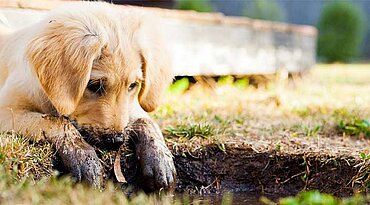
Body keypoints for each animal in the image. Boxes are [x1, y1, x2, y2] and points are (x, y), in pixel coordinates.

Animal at [0, 1, 176, 191]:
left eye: (132, 86)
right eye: (94, 85)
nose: (117, 141)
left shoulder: (130, 107)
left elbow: (146, 120)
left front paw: (160, 160)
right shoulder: (6, 110)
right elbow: (54, 121)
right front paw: (83, 157)